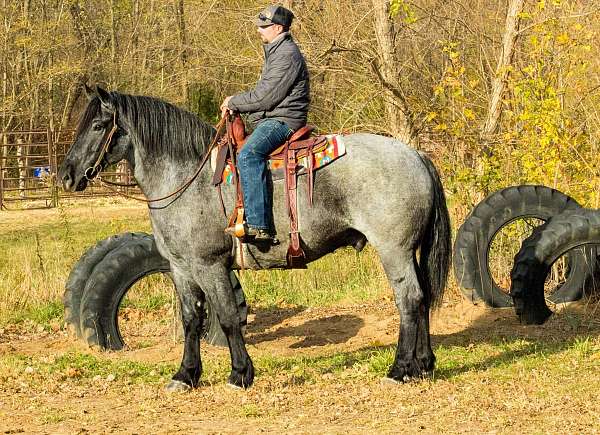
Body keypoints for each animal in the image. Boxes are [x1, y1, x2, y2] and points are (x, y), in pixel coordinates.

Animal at [59, 85, 450, 392]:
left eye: (98, 125)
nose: (66, 175)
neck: (187, 179)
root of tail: (415, 155)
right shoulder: (181, 268)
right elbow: (191, 320)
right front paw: (186, 375)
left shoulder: (210, 265)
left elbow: (227, 317)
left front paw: (240, 374)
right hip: (409, 251)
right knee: (422, 298)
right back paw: (423, 364)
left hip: (394, 250)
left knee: (409, 300)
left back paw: (399, 369)